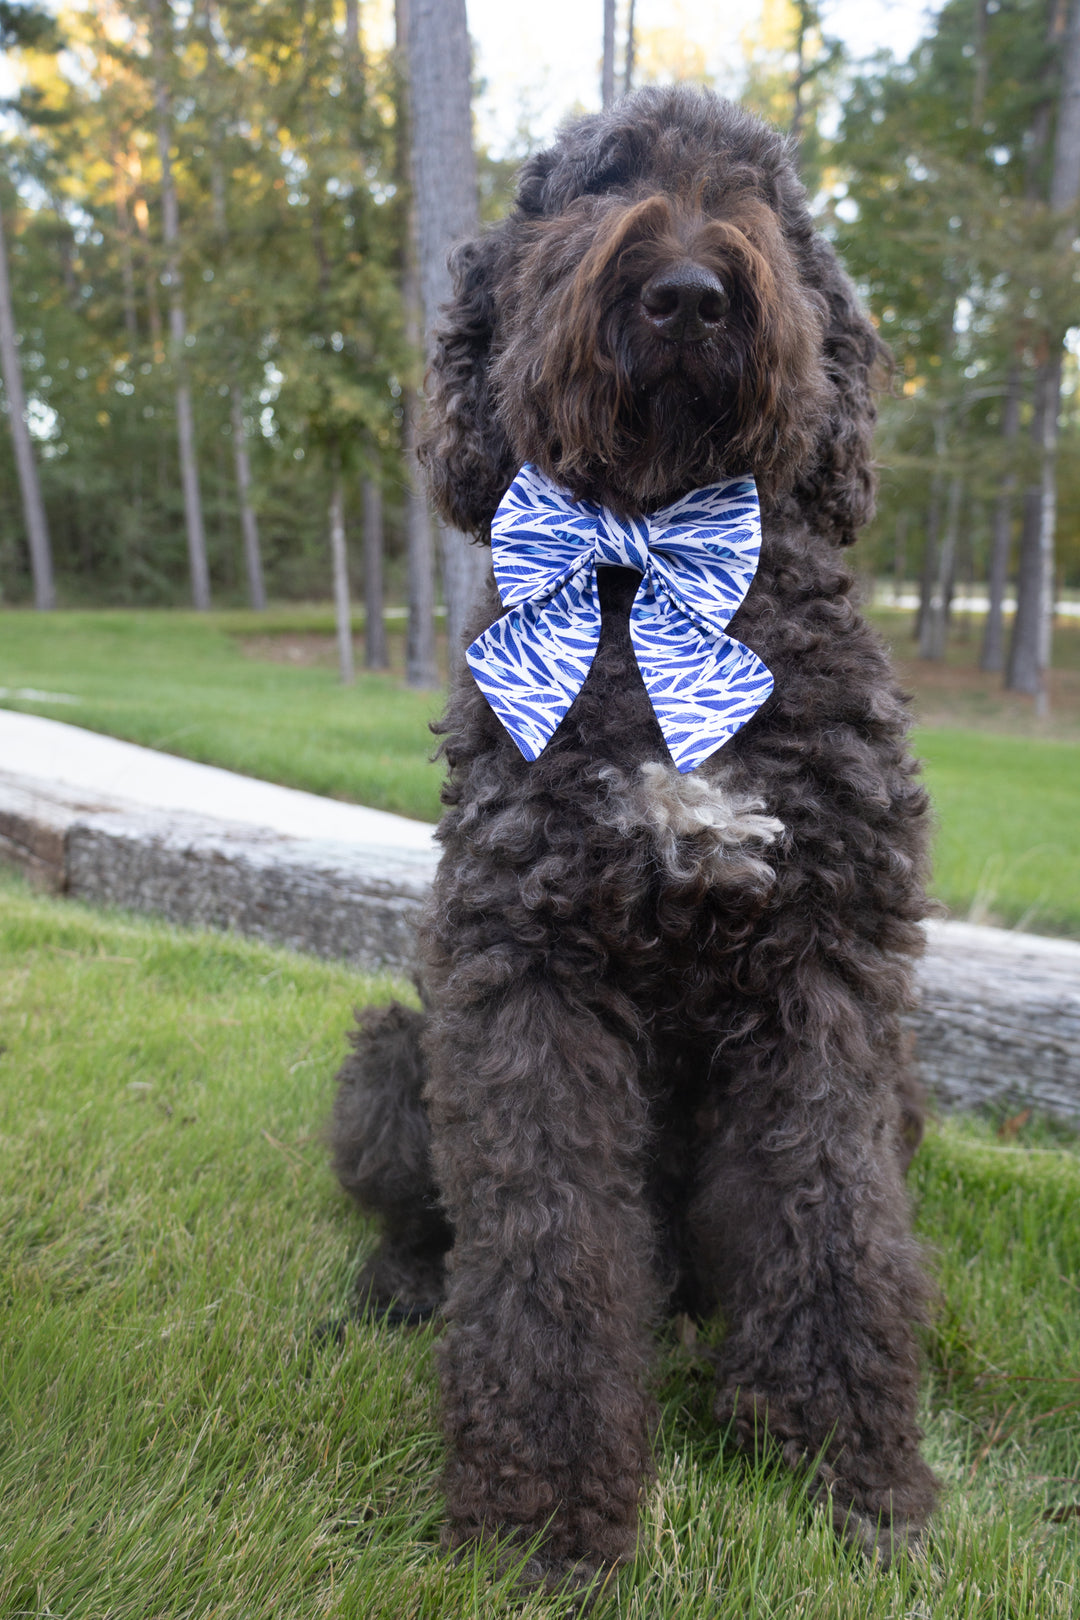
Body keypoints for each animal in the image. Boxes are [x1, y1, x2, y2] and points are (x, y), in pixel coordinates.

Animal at [333, 85, 939, 1581]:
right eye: (590, 186)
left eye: (764, 193)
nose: (687, 294)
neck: (657, 563)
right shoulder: (529, 975)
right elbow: (542, 1247)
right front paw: (542, 1511)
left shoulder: (823, 975)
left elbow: (833, 1224)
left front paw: (854, 1468)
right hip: (396, 1054)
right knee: (436, 1224)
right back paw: (398, 1285)